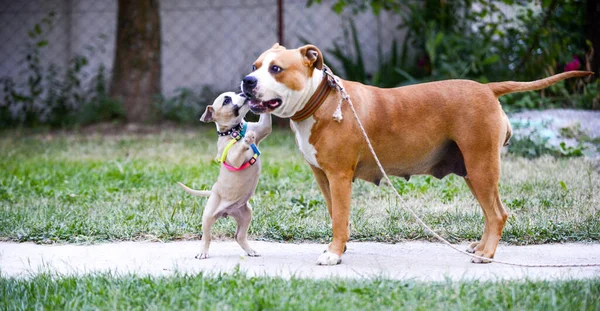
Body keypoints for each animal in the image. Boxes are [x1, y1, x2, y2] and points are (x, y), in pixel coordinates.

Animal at [177, 91, 274, 260]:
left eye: (236, 93)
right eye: (226, 100)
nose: (243, 93)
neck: (235, 130)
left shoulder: (262, 128)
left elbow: (265, 122)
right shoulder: (234, 158)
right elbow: (239, 150)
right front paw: (246, 141)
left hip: (246, 213)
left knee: (239, 236)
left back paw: (250, 250)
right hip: (208, 216)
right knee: (207, 236)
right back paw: (203, 252)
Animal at [241, 43, 592, 266]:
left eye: (276, 69)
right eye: (255, 66)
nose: (247, 81)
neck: (320, 100)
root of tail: (487, 88)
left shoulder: (339, 177)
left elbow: (339, 217)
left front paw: (334, 254)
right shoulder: (324, 178)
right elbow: (336, 215)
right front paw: (341, 246)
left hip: (482, 167)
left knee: (498, 214)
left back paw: (486, 254)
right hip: (473, 171)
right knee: (491, 213)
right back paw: (480, 247)